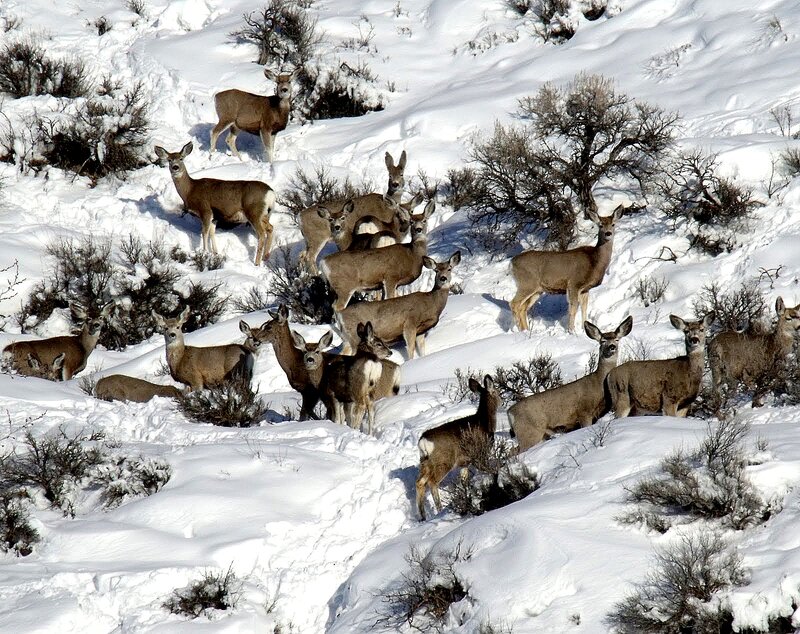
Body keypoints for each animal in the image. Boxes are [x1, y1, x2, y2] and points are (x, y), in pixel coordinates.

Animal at [415, 375, 499, 521]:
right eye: (498, 392)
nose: (502, 399)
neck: (484, 422)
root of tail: (423, 442)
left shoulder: (464, 462)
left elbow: (464, 480)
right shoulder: (480, 454)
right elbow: (488, 469)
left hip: (425, 462)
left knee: (419, 482)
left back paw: (423, 517)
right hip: (444, 461)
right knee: (432, 482)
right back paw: (440, 510)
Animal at [508, 316, 633, 452]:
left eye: (617, 339)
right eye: (603, 341)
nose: (612, 347)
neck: (598, 384)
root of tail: (510, 412)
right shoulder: (584, 412)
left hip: (539, 434)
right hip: (529, 432)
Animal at [510, 204, 625, 333]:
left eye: (613, 224)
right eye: (600, 225)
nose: (608, 233)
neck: (594, 262)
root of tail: (512, 262)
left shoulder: (585, 289)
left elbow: (584, 307)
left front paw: (584, 329)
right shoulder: (574, 283)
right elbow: (573, 308)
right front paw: (572, 331)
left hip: (537, 290)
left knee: (523, 307)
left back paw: (526, 330)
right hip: (527, 283)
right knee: (514, 304)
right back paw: (519, 330)